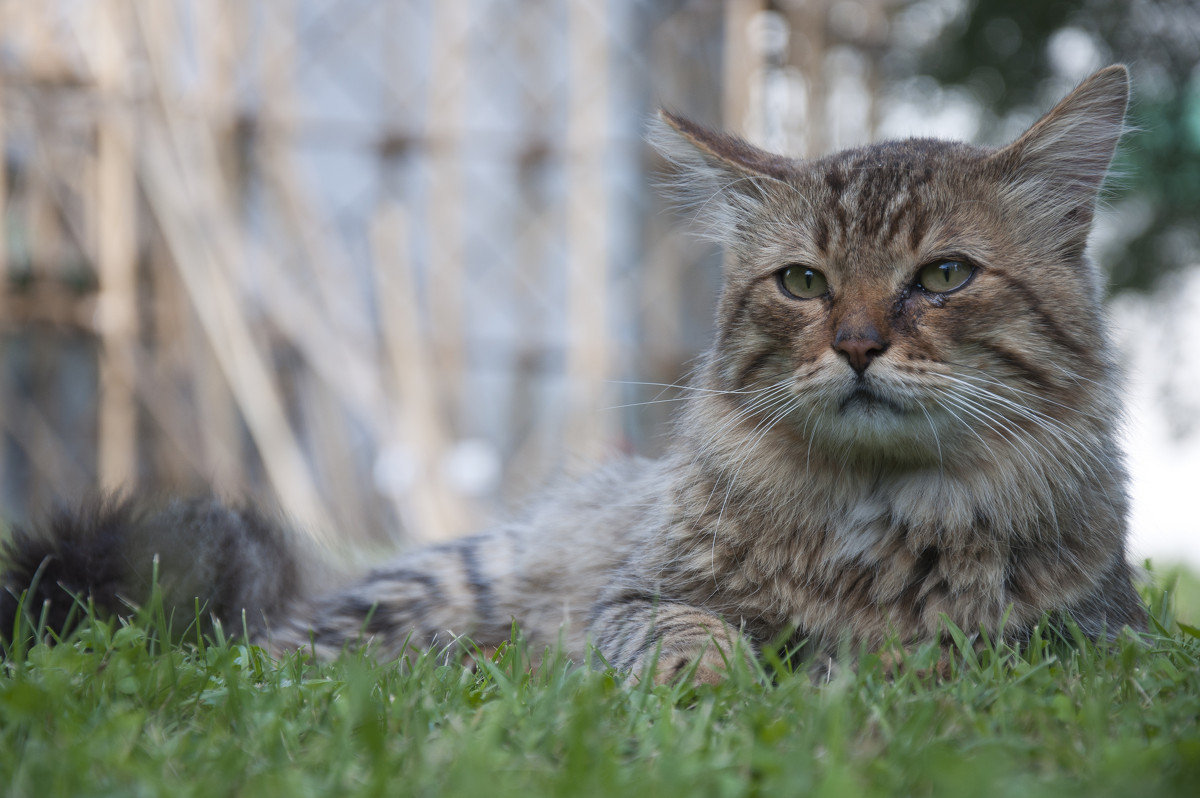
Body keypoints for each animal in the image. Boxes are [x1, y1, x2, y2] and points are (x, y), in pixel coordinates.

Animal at [0, 65, 1142, 681]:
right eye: (804, 283)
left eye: (944, 276)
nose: (856, 346)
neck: (875, 518)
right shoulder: (637, 594)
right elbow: (679, 630)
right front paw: (710, 684)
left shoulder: (1085, 636)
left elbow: (939, 652)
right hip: (423, 595)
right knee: (281, 655)